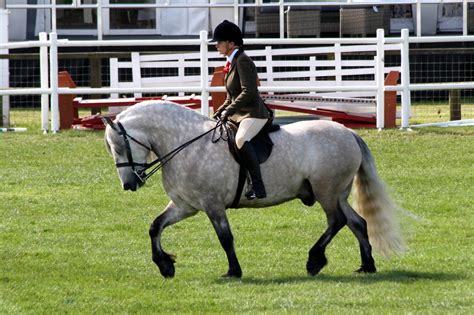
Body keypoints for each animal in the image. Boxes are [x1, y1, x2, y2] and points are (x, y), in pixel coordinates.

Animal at [103, 100, 404, 278]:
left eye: (119, 147)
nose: (129, 185)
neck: (185, 143)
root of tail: (348, 132)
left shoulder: (212, 205)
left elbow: (225, 238)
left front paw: (233, 271)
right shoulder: (185, 206)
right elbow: (155, 226)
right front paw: (165, 265)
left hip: (326, 192)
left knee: (337, 221)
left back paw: (314, 261)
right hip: (337, 193)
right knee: (357, 222)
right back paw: (367, 266)